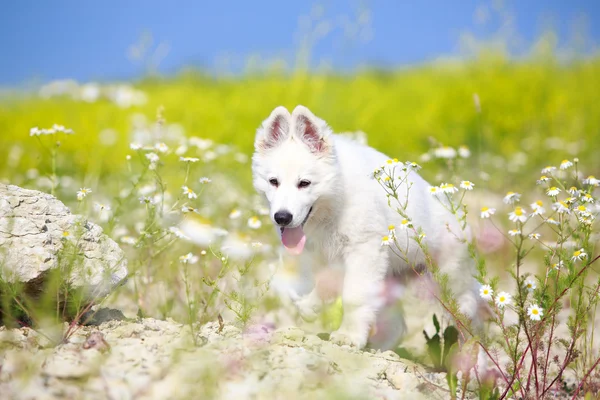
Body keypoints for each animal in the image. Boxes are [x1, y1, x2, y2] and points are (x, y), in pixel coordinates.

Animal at [253, 104, 482, 348]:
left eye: (304, 183)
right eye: (273, 182)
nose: (282, 217)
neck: (337, 197)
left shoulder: (364, 251)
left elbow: (353, 296)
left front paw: (349, 335)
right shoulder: (317, 252)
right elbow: (318, 283)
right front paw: (308, 308)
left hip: (449, 279)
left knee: (468, 311)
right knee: (396, 325)